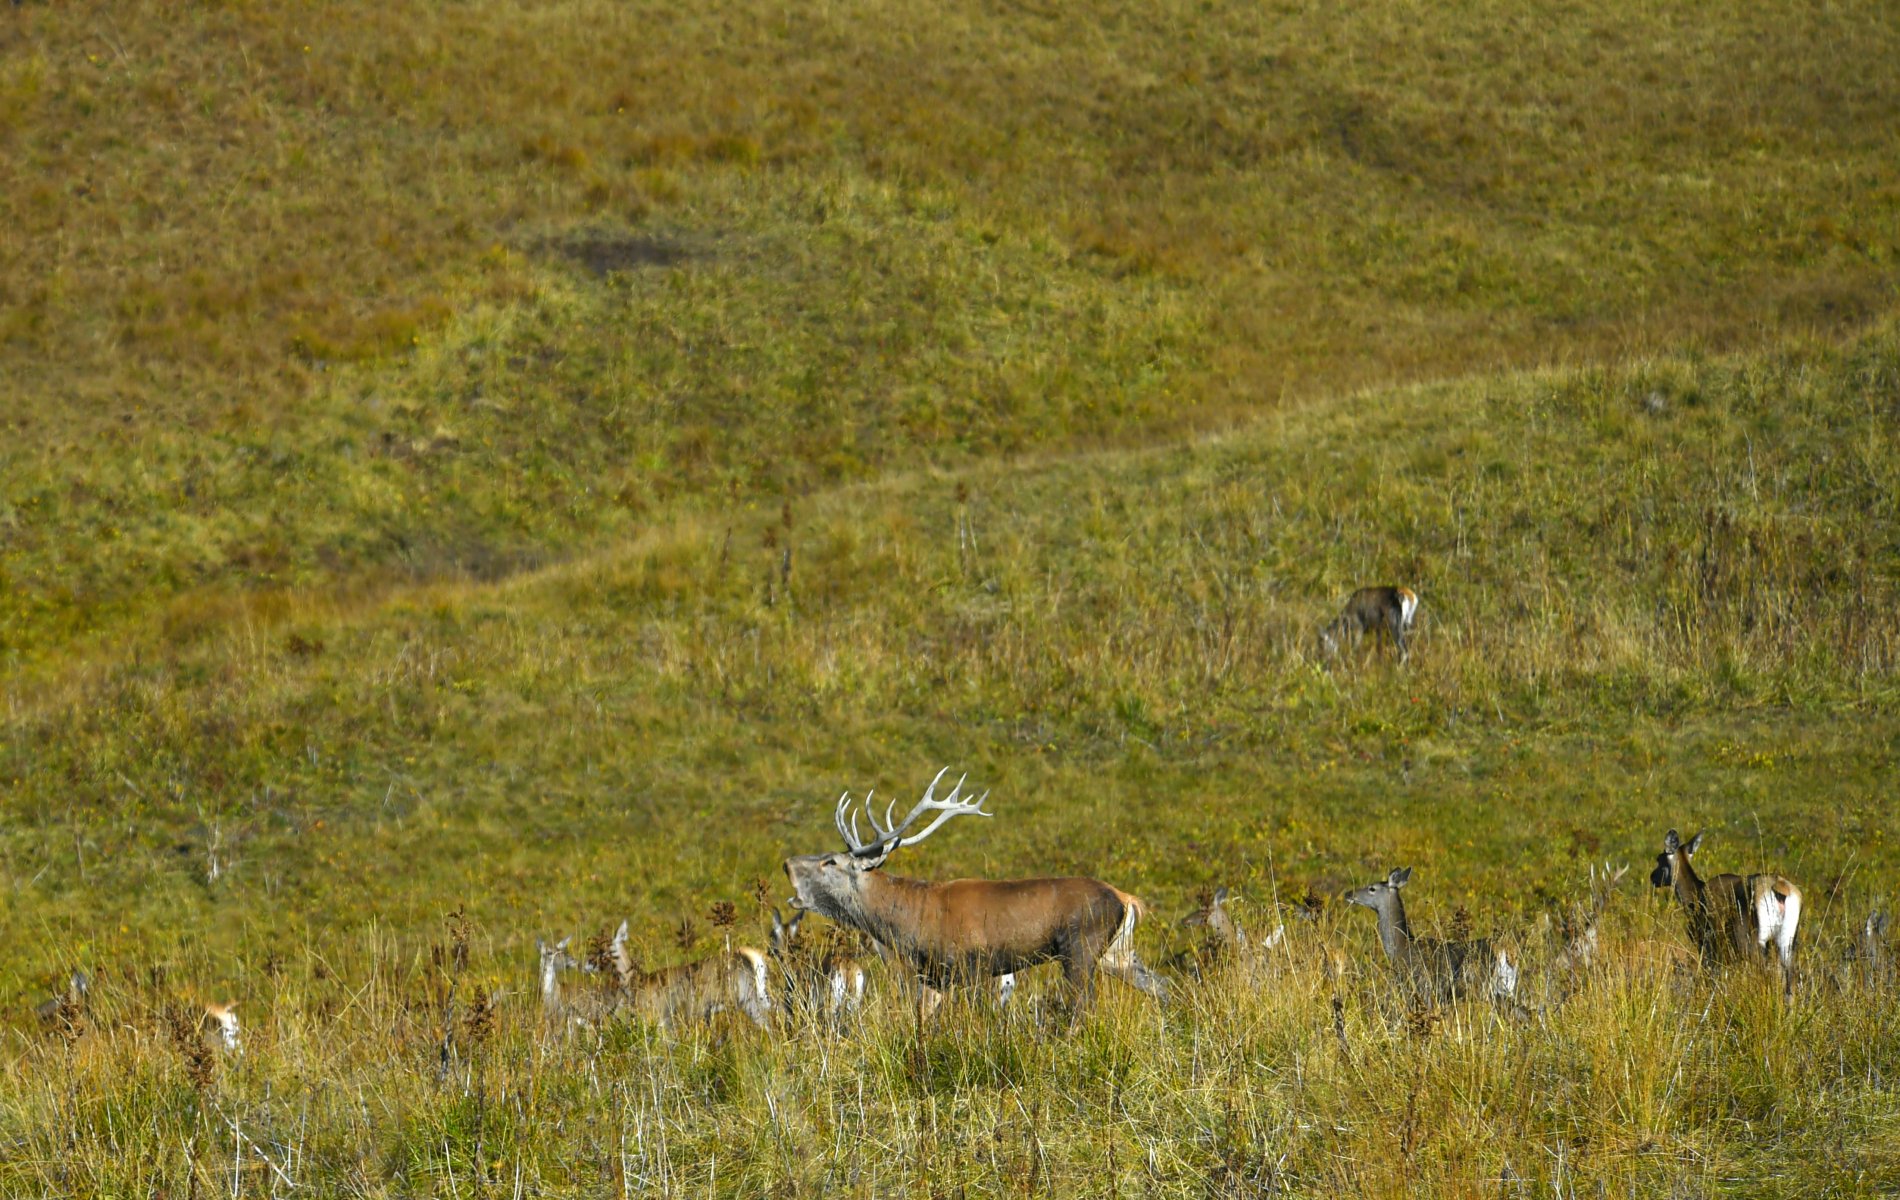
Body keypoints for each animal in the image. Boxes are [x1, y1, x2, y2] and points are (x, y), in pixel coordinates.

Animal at [779, 767, 1162, 1025]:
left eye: (831, 860)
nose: (787, 863)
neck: (908, 924)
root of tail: (1126, 898)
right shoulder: (931, 977)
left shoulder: (973, 966)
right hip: (1117, 952)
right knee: (1161, 985)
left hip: (1080, 947)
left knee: (1085, 1007)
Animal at [1345, 873, 1520, 1002]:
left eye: (1372, 888)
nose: (1348, 893)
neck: (1401, 947)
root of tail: (1505, 951)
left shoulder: (1421, 985)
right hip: (1504, 990)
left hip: (1480, 986)